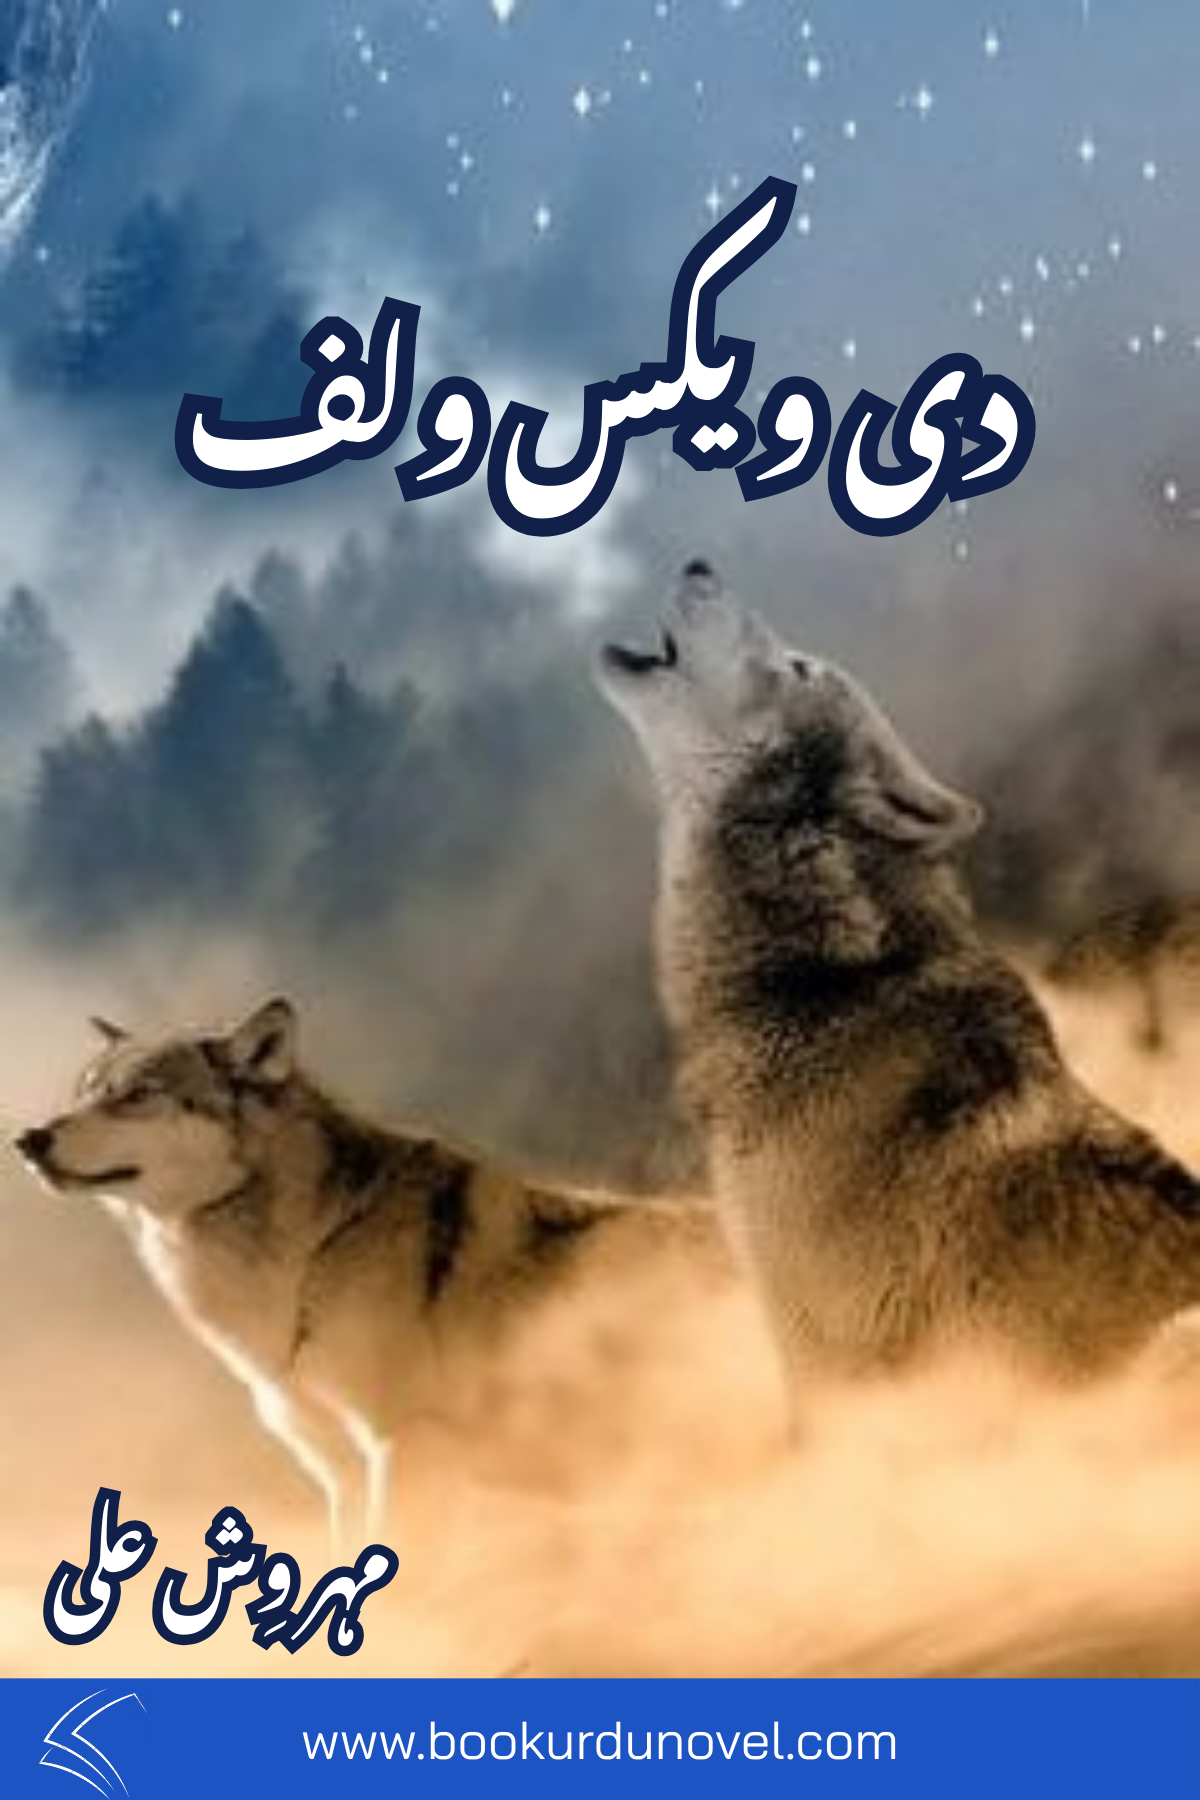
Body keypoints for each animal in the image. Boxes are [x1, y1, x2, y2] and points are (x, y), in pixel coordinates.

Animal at [15, 998, 726, 1547]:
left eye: (138, 1096)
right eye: (83, 1092)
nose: (29, 1139)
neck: (313, 1253)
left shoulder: (404, 1449)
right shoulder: (343, 1475)